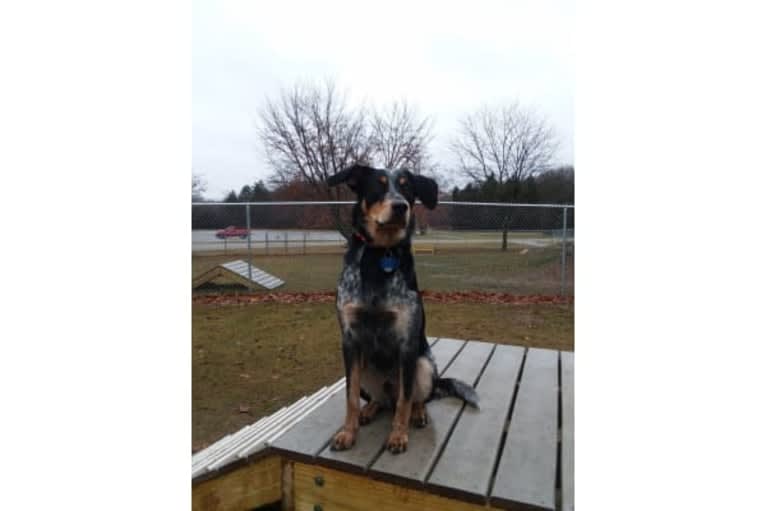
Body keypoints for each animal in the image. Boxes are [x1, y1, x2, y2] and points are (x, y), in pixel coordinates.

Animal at [326, 165, 480, 456]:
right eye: (378, 185)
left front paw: (398, 435)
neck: (380, 255)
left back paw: (418, 414)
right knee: (381, 399)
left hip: (424, 366)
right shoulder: (349, 341)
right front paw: (348, 433)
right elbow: (350, 397)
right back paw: (370, 409)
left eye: (407, 187)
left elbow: (405, 400)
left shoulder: (407, 342)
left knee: (413, 398)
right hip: (366, 370)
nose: (400, 206)